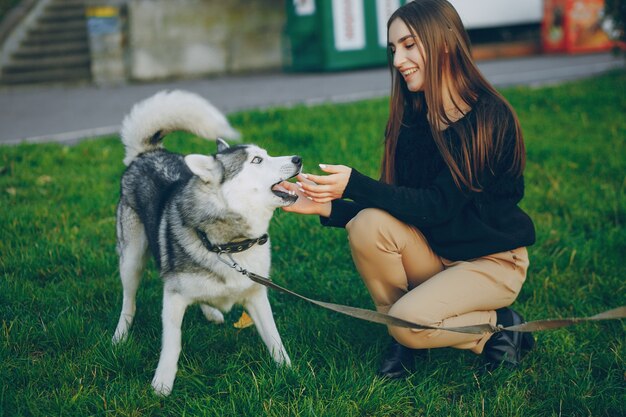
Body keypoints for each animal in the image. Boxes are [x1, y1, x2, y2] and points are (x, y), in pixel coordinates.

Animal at [111, 89, 300, 394]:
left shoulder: (256, 293)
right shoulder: (173, 297)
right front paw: (162, 383)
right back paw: (120, 335)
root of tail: (148, 153)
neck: (231, 245)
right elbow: (172, 344)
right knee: (129, 300)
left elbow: (274, 337)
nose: (298, 159)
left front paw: (289, 370)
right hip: (131, 259)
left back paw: (210, 311)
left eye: (267, 154)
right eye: (256, 161)